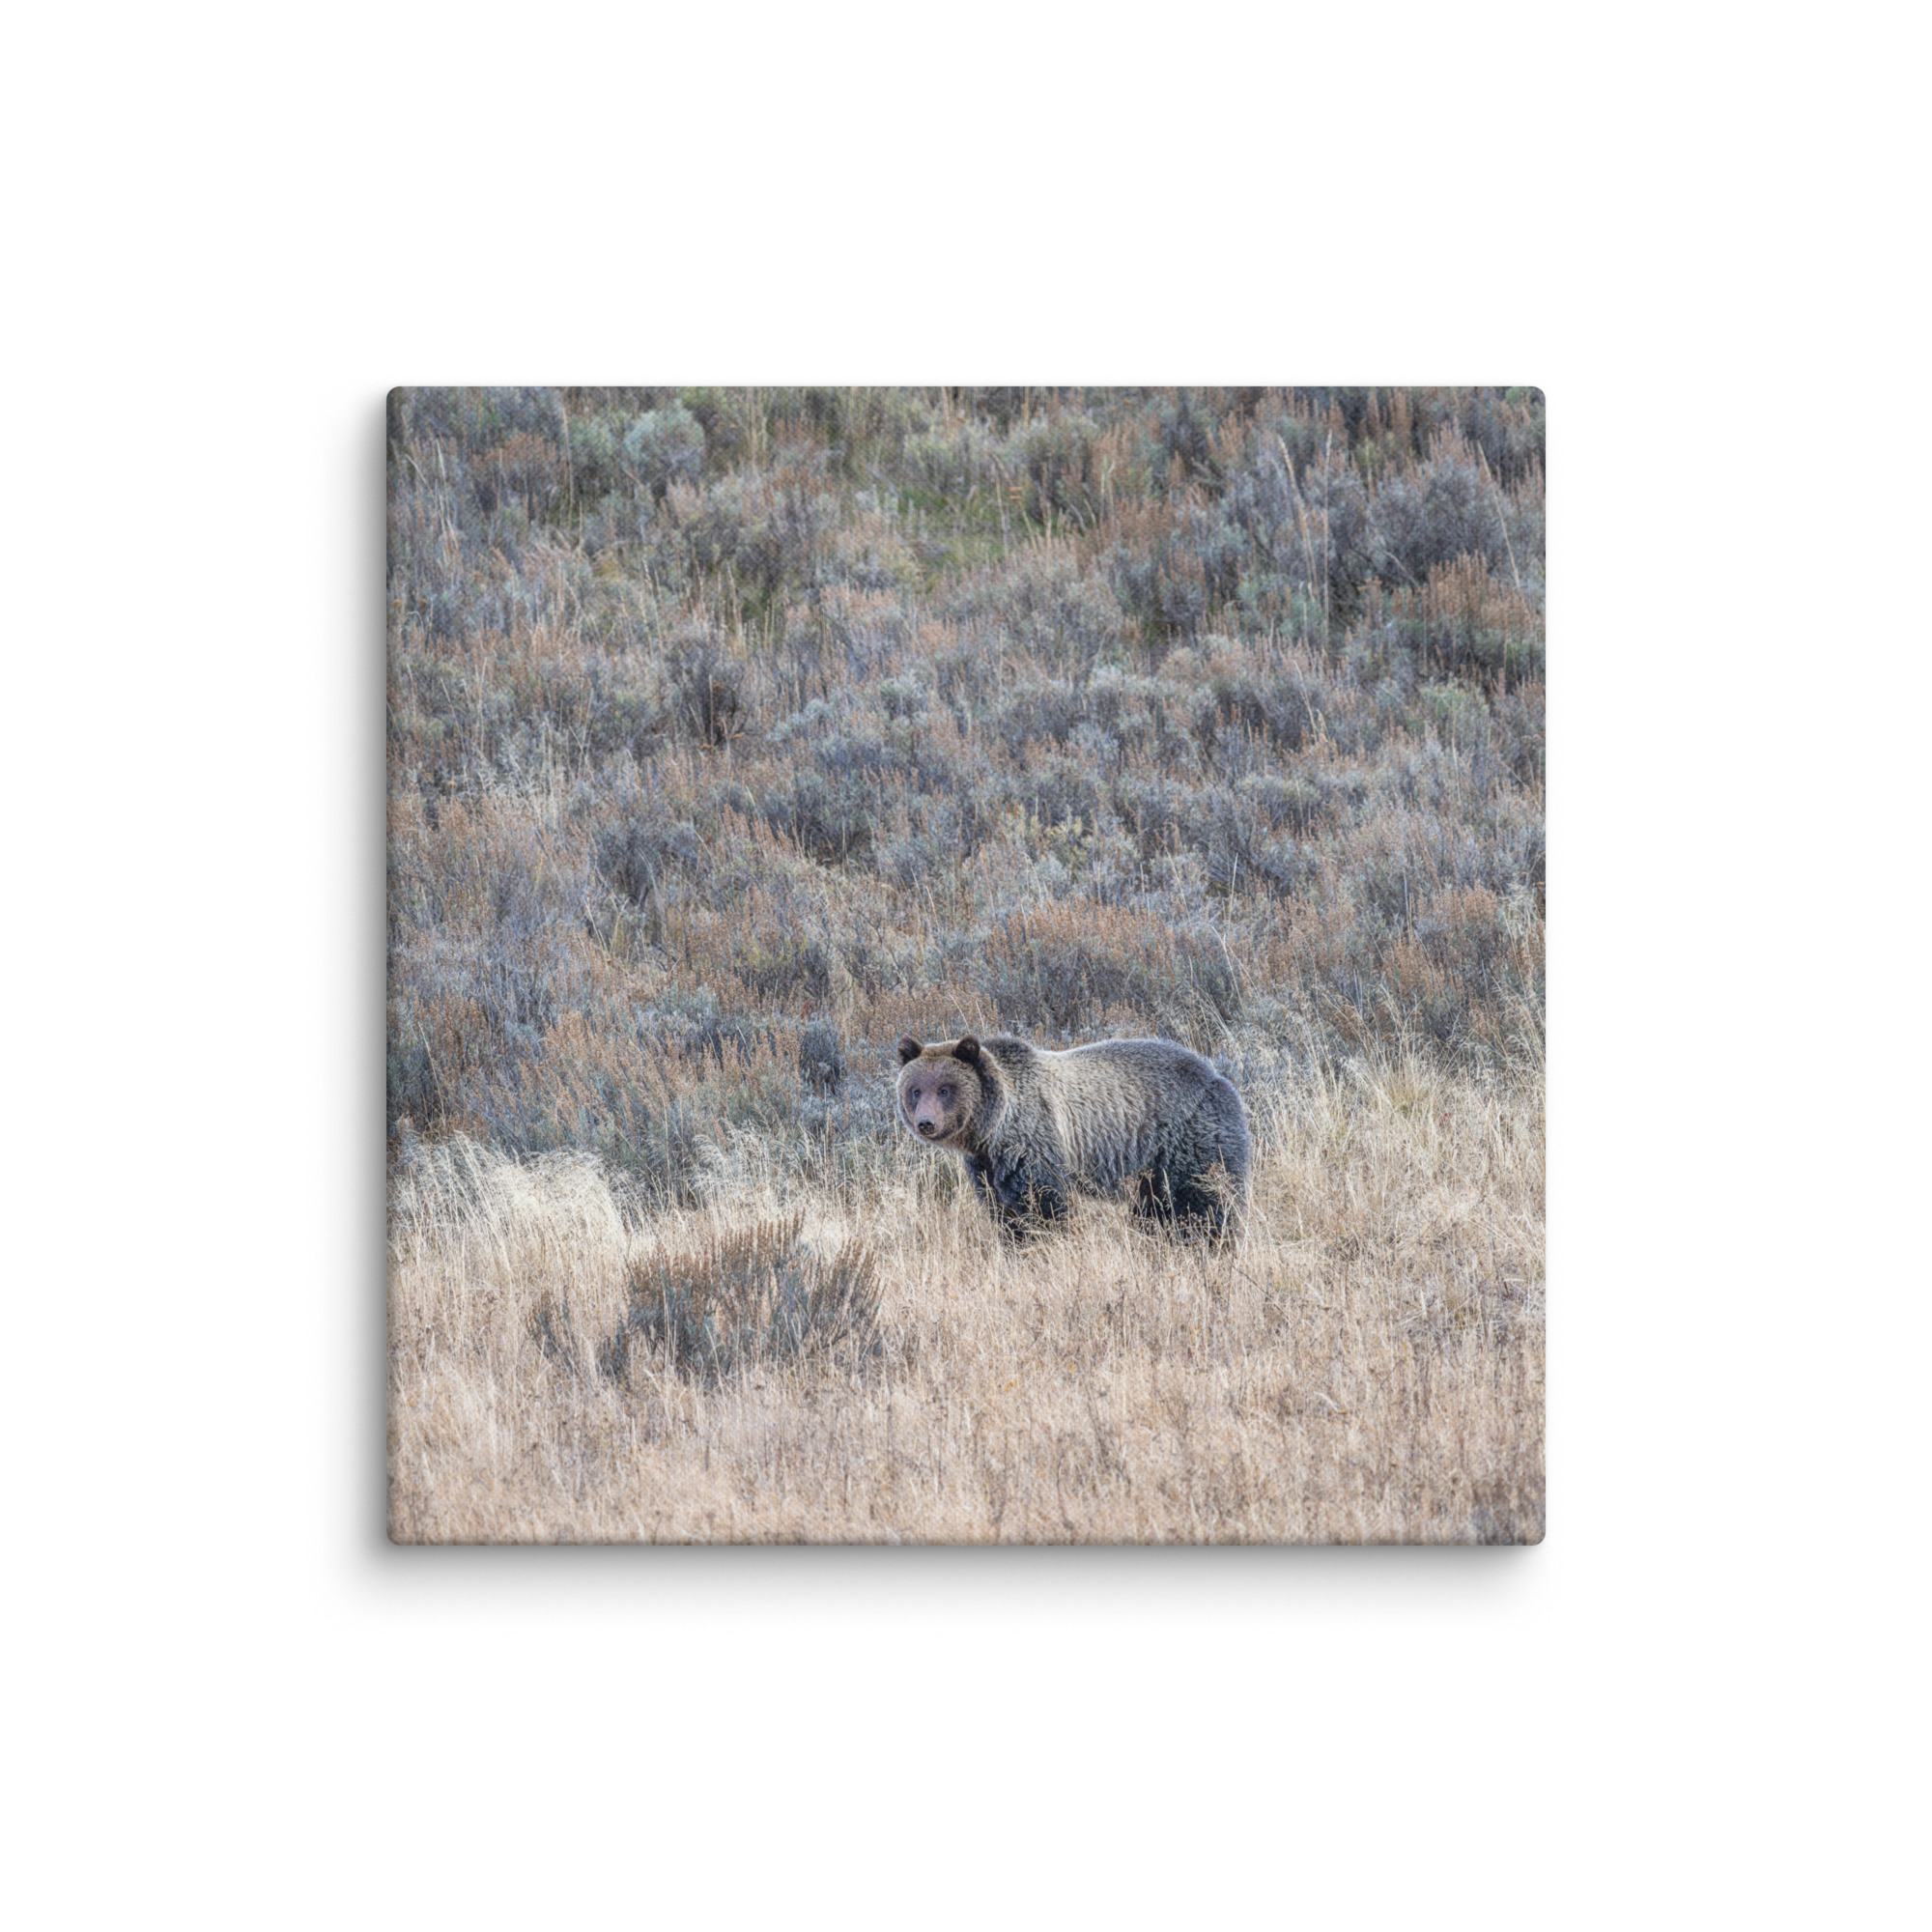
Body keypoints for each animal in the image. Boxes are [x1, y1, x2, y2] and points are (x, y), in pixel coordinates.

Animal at [895, 1032, 1251, 1243]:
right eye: (916, 1090)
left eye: (945, 1089)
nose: (926, 1123)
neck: (992, 1130)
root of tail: (1219, 1077)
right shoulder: (986, 1167)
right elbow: (1003, 1211)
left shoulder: (1034, 1143)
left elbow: (1044, 1205)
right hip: (1151, 1169)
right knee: (1156, 1209)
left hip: (1189, 1139)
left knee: (1204, 1201)